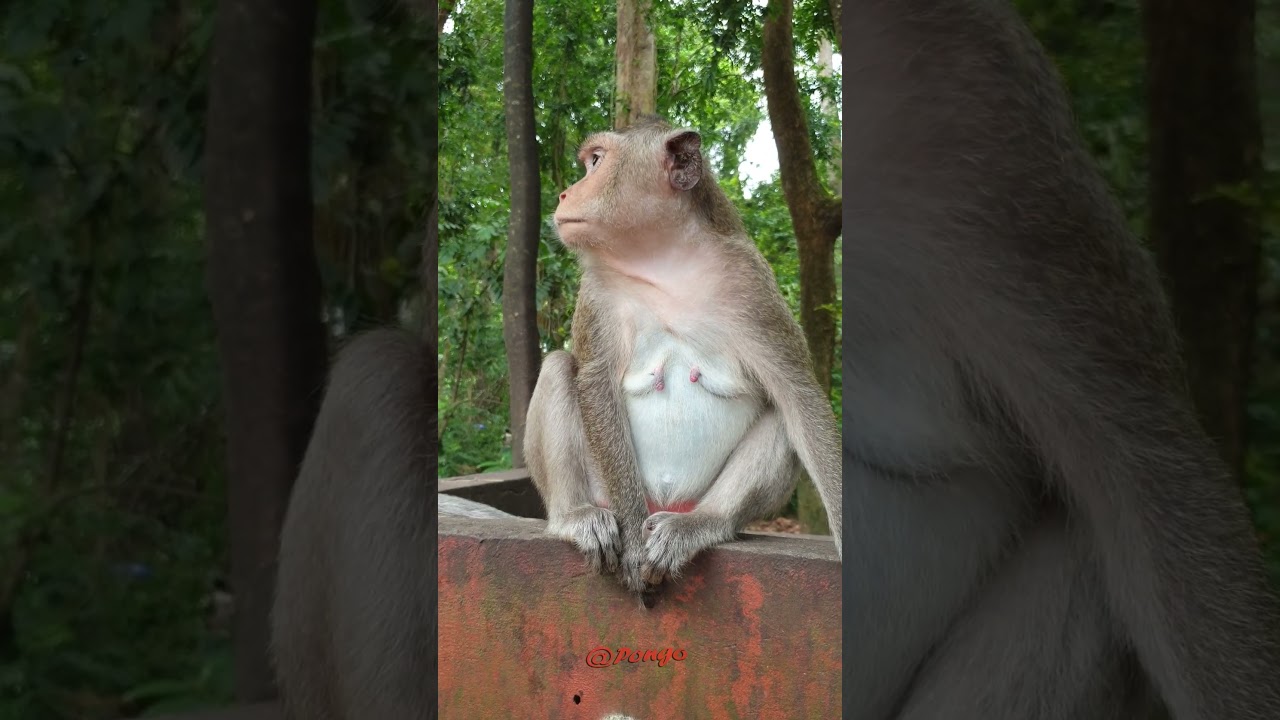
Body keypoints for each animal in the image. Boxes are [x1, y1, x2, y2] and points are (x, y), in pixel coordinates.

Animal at [523, 115, 842, 597]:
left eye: (596, 162)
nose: (563, 194)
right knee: (561, 368)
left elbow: (798, 392)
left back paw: (703, 523)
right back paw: (575, 517)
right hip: (607, 490)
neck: (663, 259)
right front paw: (635, 548)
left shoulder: (750, 281)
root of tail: (666, 503)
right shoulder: (597, 290)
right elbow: (595, 383)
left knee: (782, 414)